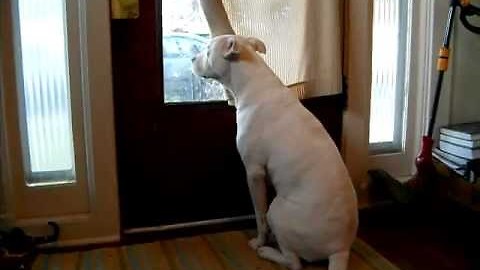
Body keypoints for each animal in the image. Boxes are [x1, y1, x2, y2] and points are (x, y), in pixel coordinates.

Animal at [193, 34, 358, 268]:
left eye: (207, 52)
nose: (191, 59)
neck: (251, 81)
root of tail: (340, 250)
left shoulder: (254, 173)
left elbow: (259, 214)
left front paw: (259, 241)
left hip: (277, 210)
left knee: (293, 261)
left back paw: (267, 252)